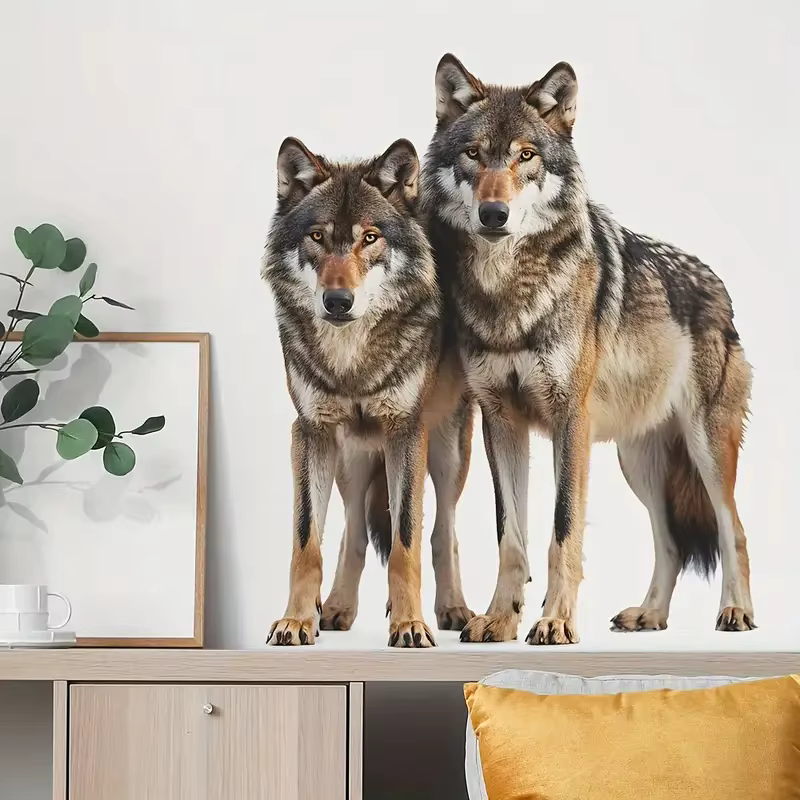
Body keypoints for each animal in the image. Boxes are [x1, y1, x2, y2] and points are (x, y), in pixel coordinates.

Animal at [262, 136, 474, 647]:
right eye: (318, 237)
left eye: (371, 238)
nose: (338, 301)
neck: (352, 362)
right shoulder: (310, 433)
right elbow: (307, 543)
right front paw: (296, 621)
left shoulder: (405, 433)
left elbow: (406, 543)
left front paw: (410, 624)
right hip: (352, 458)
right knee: (353, 530)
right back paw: (337, 608)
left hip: (446, 455)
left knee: (442, 532)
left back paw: (453, 609)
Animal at [420, 54, 755, 645]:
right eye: (474, 154)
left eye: (526, 156)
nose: (493, 214)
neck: (508, 294)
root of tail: (718, 287)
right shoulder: (499, 421)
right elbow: (512, 537)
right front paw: (500, 619)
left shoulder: (568, 422)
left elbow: (562, 530)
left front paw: (555, 621)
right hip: (638, 464)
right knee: (670, 542)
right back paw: (649, 615)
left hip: (705, 451)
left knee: (732, 528)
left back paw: (735, 612)